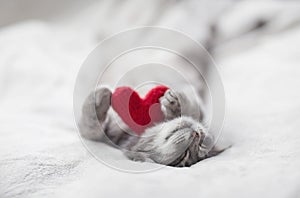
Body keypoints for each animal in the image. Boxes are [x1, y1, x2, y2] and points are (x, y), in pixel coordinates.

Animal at [78, 86, 224, 166]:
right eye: (203, 143)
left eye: (183, 156)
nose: (197, 135)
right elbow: (193, 111)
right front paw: (175, 103)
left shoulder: (102, 139)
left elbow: (91, 130)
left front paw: (99, 97)